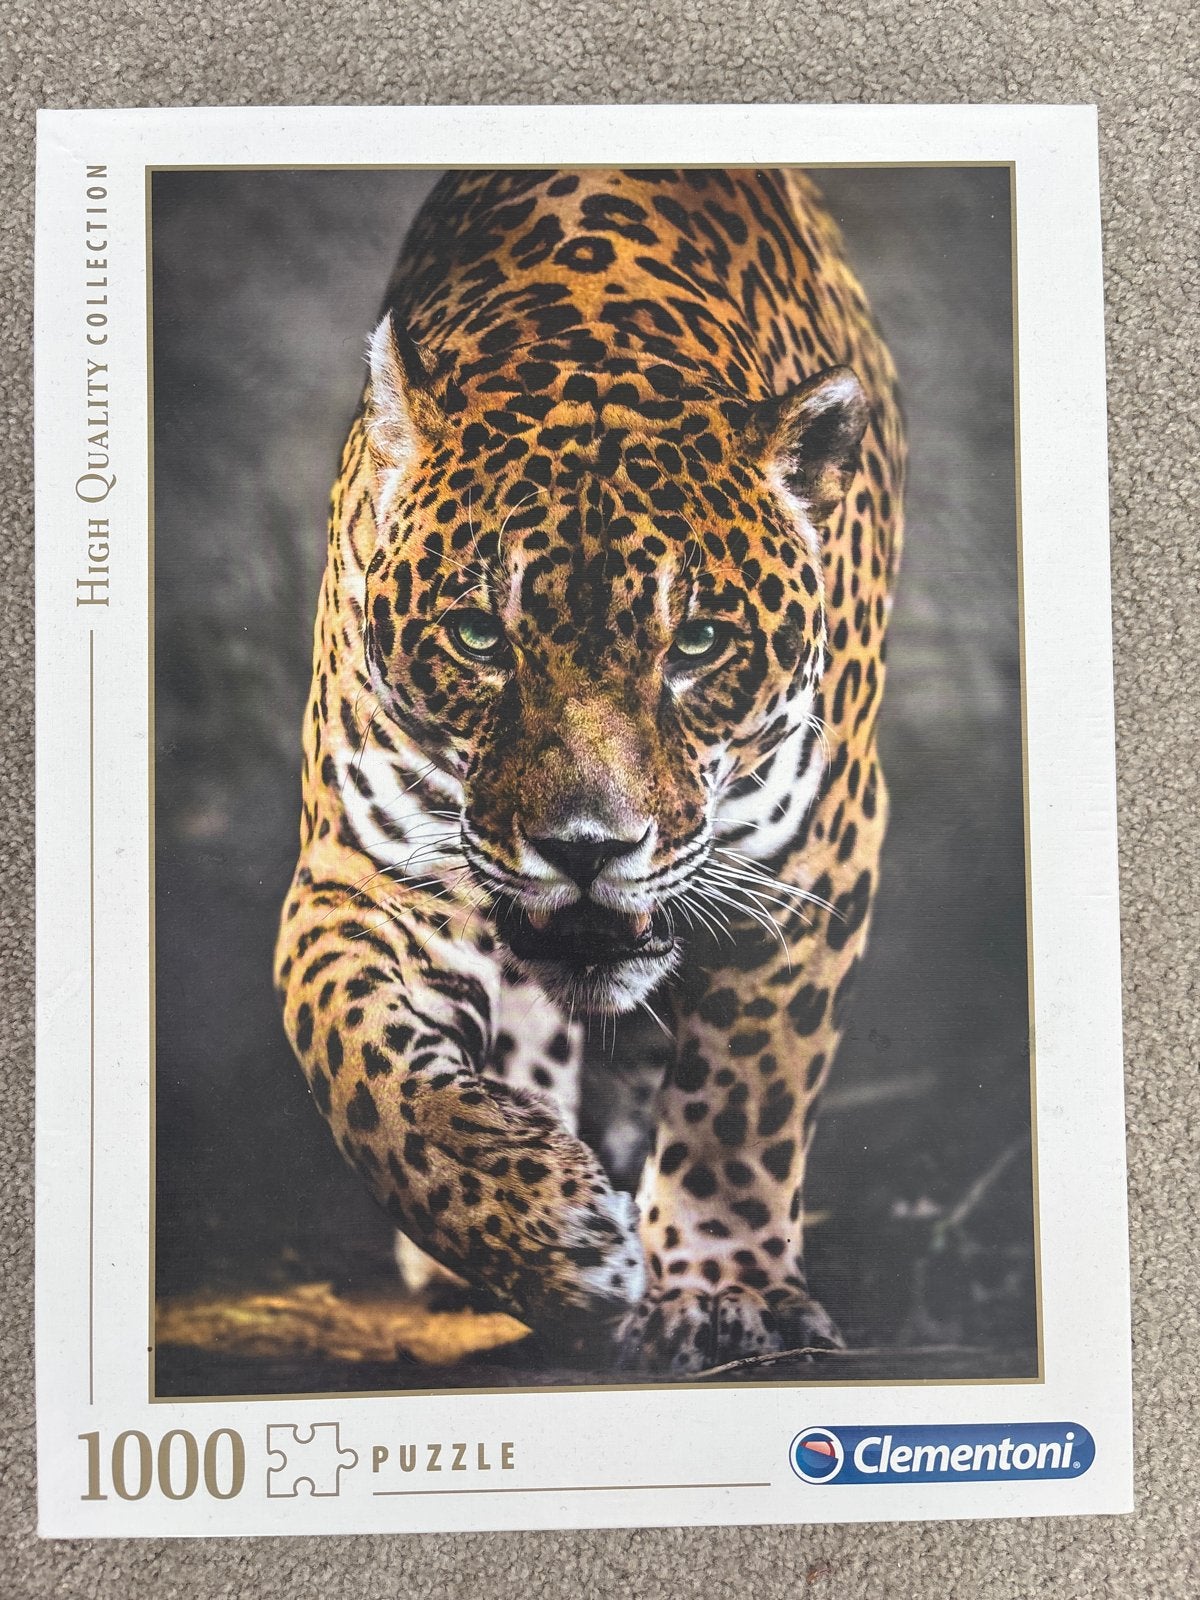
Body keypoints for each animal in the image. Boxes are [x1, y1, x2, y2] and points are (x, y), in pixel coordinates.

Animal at [274, 167, 904, 1374]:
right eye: (479, 636)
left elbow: (744, 1098)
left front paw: (725, 1291)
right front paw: (547, 1233)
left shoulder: (811, 861)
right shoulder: (361, 874)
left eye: (697, 644)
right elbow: (359, 1066)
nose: (585, 850)